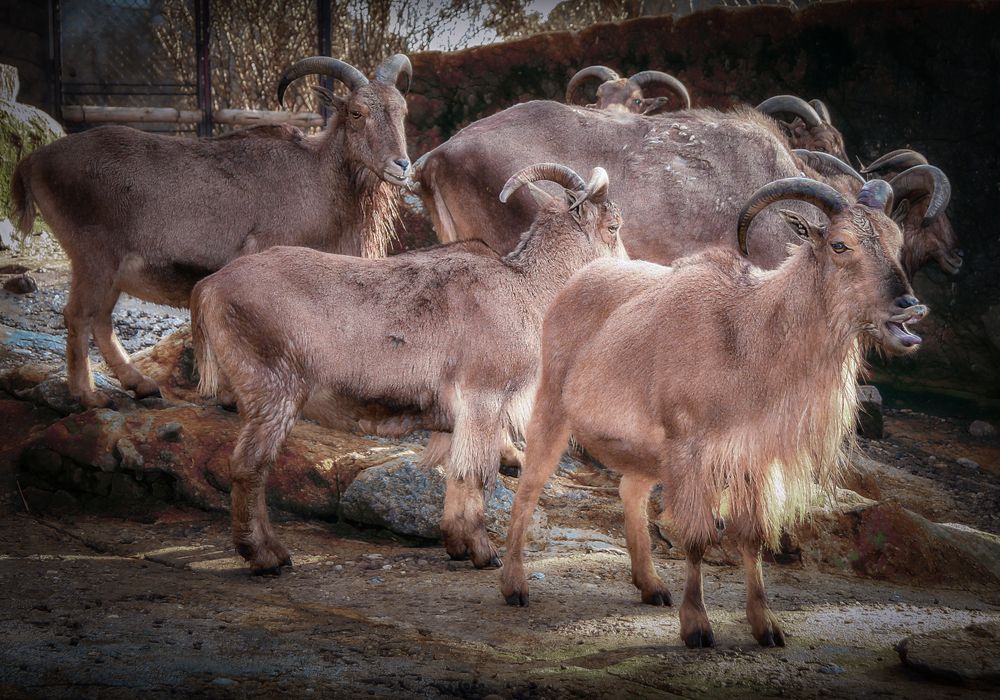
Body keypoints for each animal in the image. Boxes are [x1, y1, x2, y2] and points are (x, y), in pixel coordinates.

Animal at [190, 163, 624, 576]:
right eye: (613, 226)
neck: (527, 289)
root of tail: (208, 287)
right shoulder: (484, 398)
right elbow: (478, 474)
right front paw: (484, 553)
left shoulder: (455, 419)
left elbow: (455, 475)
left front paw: (457, 545)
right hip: (274, 390)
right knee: (249, 466)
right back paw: (266, 557)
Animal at [500, 176, 928, 652]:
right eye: (840, 244)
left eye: (895, 240)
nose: (909, 306)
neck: (747, 335)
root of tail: (577, 280)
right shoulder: (690, 449)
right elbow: (698, 537)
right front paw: (698, 626)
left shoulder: (753, 459)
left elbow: (753, 538)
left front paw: (767, 626)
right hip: (553, 406)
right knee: (530, 487)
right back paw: (514, 585)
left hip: (646, 449)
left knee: (631, 492)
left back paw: (651, 586)